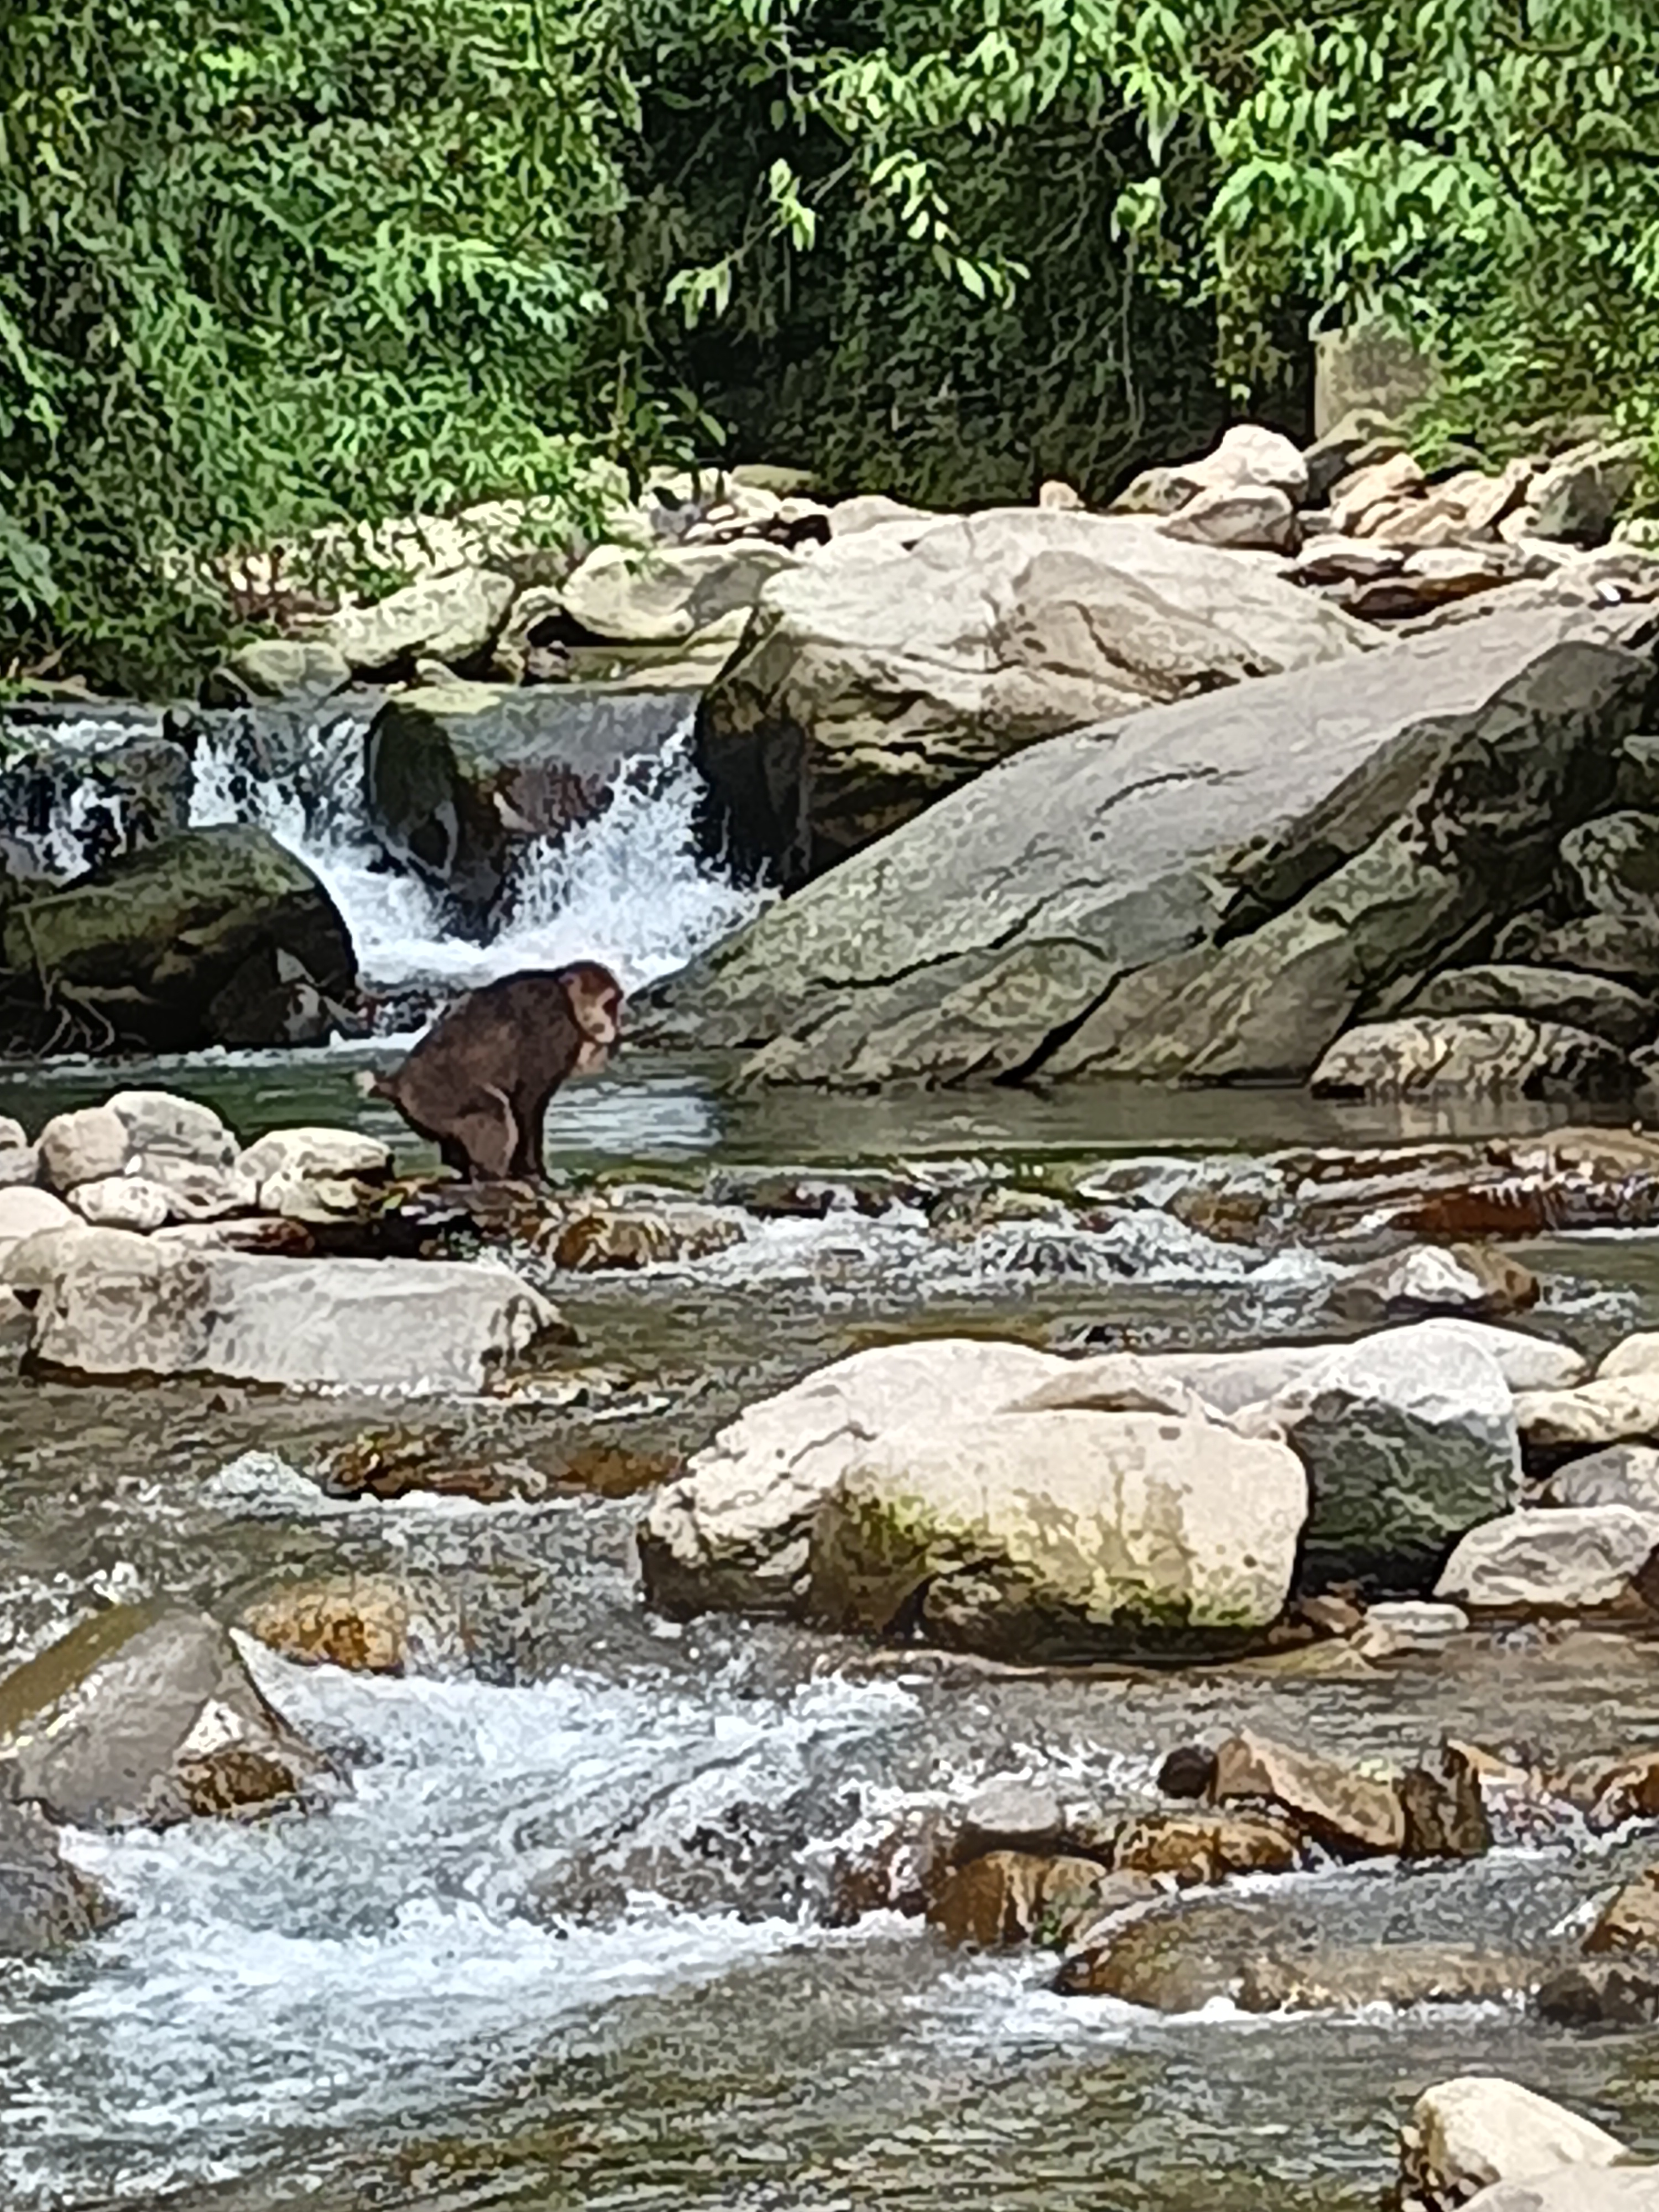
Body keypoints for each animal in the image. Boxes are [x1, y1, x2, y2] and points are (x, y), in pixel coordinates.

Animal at [358, 960, 624, 1186]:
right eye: (609, 1006)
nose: (616, 1027)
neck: (565, 996)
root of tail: (398, 1082)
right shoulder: (555, 1027)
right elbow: (528, 1103)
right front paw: (535, 1172)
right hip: (434, 1098)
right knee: (495, 1110)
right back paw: (495, 1176)